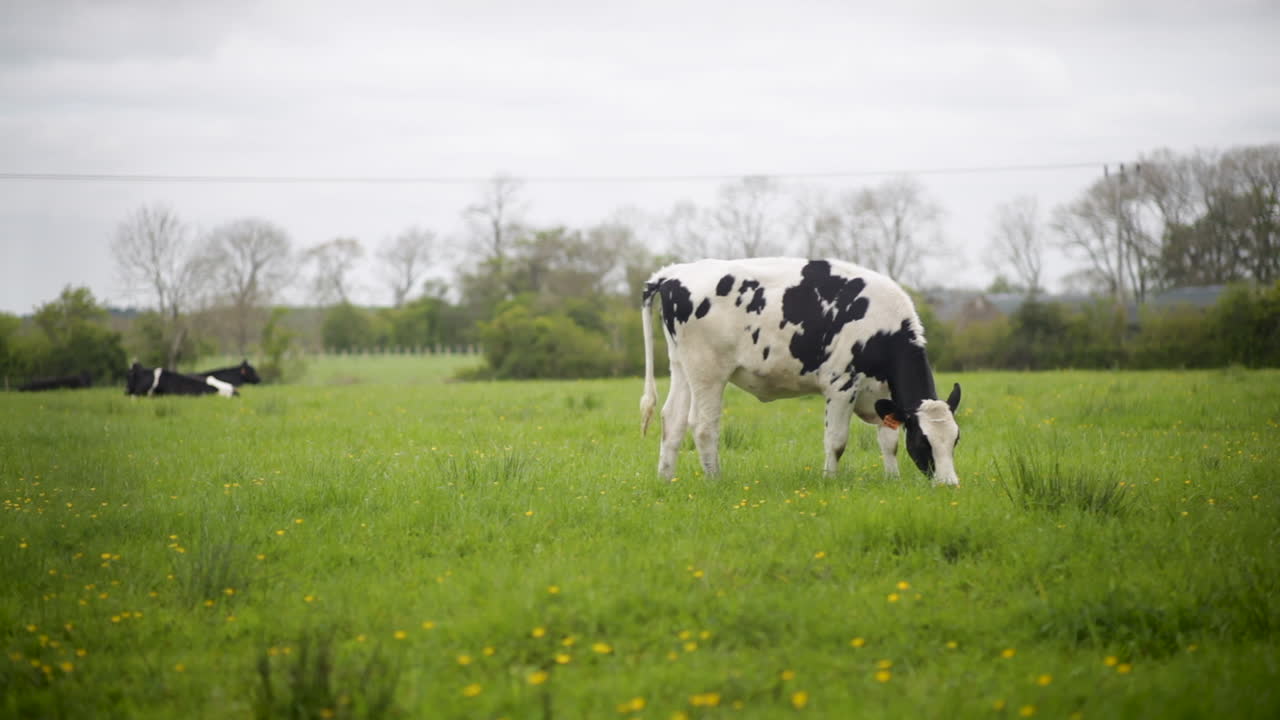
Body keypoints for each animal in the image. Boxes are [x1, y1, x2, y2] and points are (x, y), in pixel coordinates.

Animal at [639, 258, 961, 485]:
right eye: (923, 441)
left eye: (955, 440)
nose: (949, 484)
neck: (884, 328)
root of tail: (673, 274)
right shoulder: (841, 384)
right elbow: (836, 441)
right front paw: (829, 480)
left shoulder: (884, 395)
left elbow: (889, 442)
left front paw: (892, 479)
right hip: (708, 371)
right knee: (703, 425)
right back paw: (714, 480)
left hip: (681, 366)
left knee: (673, 419)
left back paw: (666, 479)